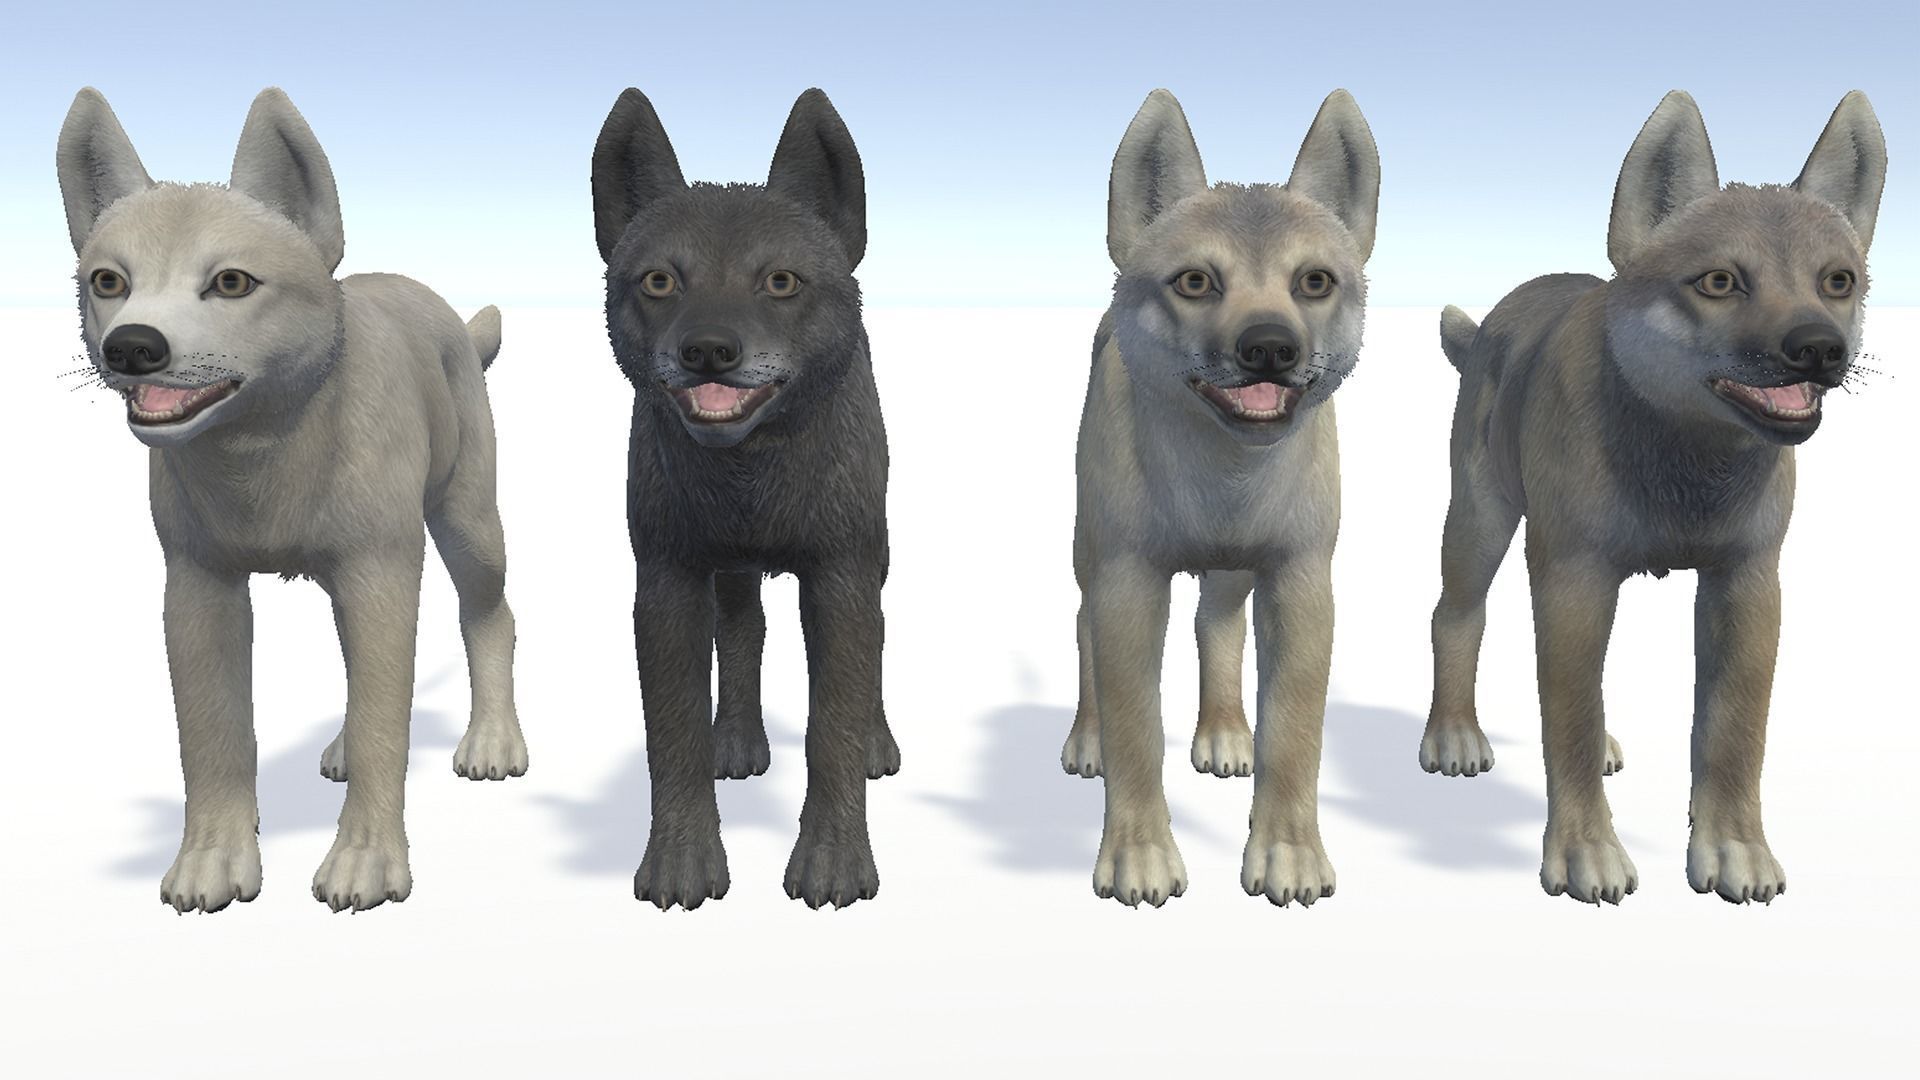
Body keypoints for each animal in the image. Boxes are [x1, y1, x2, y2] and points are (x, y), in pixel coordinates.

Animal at [57, 87, 528, 913]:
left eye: (232, 283)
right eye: (108, 282)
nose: (133, 347)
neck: (263, 452)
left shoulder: (381, 572)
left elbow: (384, 721)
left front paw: (365, 860)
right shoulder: (198, 585)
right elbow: (211, 735)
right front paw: (213, 857)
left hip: (467, 526)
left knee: (489, 617)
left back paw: (493, 740)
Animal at [592, 87, 896, 910]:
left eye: (781, 282)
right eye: (660, 281)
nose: (708, 351)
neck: (750, 480)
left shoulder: (840, 575)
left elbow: (833, 722)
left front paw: (834, 861)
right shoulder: (666, 581)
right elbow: (672, 733)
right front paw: (680, 861)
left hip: (877, 556)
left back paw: (879, 742)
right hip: (727, 574)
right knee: (744, 629)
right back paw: (737, 739)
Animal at [1061, 89, 1380, 908]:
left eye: (1314, 282)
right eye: (1196, 281)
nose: (1269, 346)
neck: (1226, 480)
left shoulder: (1300, 581)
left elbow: (1295, 733)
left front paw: (1288, 852)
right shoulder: (1128, 583)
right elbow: (1136, 727)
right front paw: (1139, 855)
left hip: (1236, 574)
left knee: (1219, 624)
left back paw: (1227, 730)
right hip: (1089, 557)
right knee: (1083, 633)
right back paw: (1086, 738)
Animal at [1419, 90, 1886, 905]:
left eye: (1838, 281)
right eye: (1720, 282)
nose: (1818, 348)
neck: (1688, 458)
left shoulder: (1746, 583)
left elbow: (1734, 732)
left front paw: (1734, 847)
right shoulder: (1572, 575)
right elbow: (1568, 717)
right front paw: (1585, 850)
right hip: (1480, 523)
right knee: (1457, 618)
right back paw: (1452, 733)